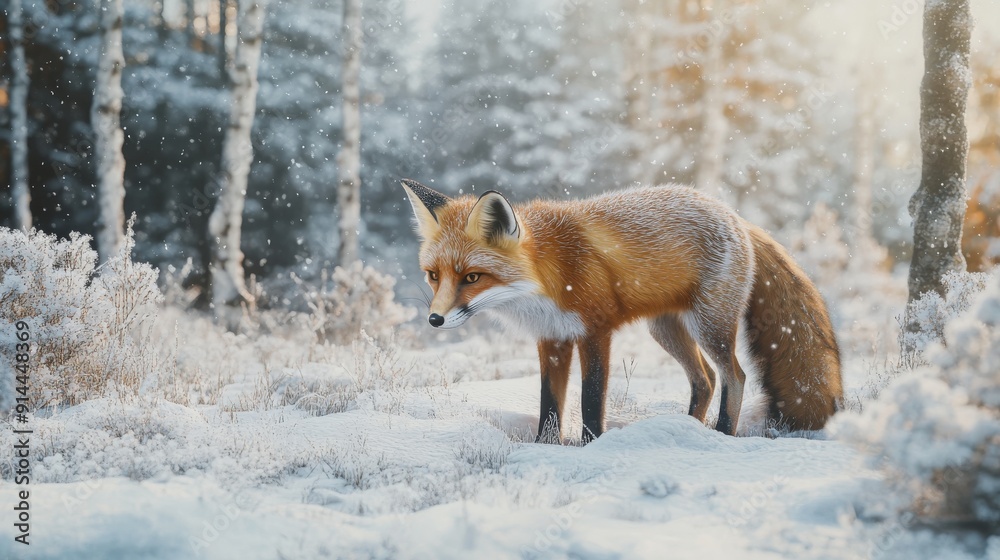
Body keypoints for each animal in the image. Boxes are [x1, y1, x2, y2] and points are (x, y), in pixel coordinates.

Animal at [401, 179, 843, 443]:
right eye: (433, 276)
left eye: (472, 277)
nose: (435, 319)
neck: (548, 274)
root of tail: (736, 216)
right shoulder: (552, 338)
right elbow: (550, 403)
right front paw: (545, 447)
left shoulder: (596, 331)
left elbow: (591, 399)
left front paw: (592, 446)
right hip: (665, 331)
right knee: (705, 379)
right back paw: (687, 429)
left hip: (709, 325)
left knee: (734, 375)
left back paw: (721, 434)